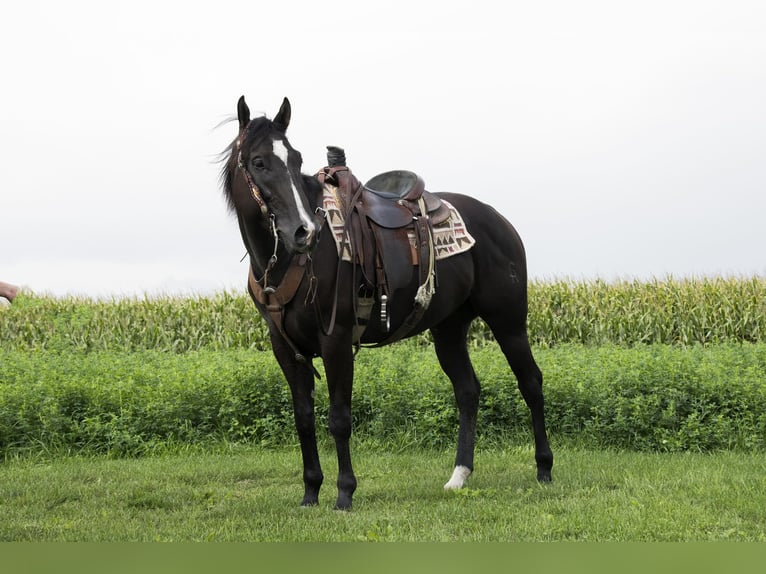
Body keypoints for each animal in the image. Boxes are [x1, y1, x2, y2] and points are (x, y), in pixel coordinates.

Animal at [220, 97, 552, 510]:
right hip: (449, 328)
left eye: (295, 160)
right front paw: (310, 491)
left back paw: (544, 468)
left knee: (531, 382)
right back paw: (459, 475)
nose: (303, 232)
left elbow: (339, 418)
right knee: (468, 391)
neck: (292, 261)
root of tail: (500, 221)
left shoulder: (336, 339)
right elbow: (303, 418)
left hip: (508, 321)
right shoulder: (284, 347)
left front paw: (344, 493)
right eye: (259, 162)